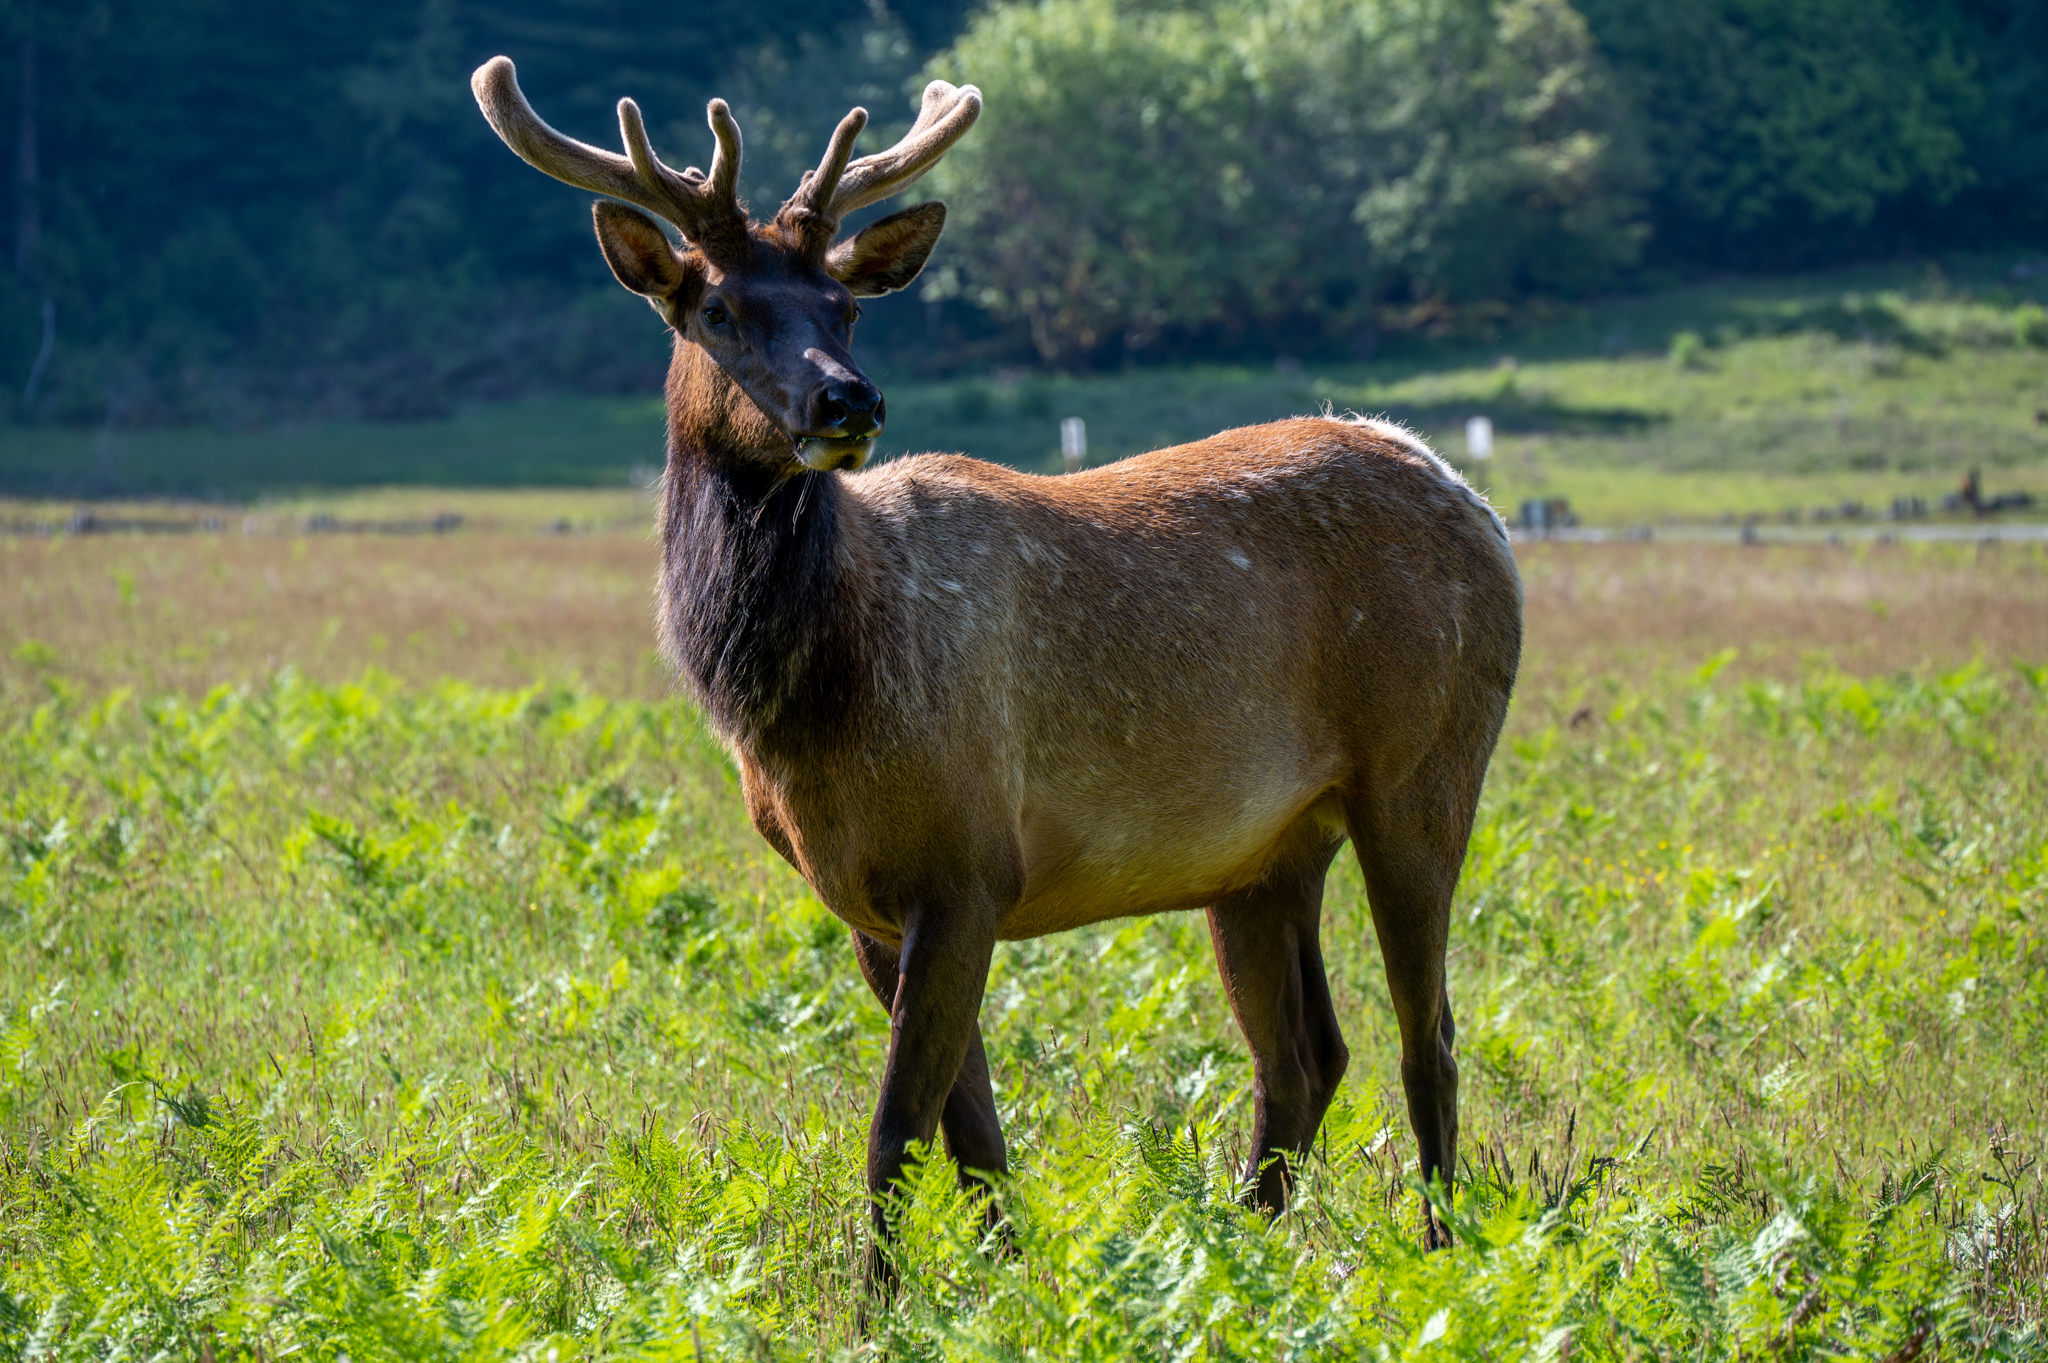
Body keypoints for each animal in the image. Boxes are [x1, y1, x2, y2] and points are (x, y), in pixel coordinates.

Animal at [471, 56, 1522, 1278]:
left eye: (844, 309)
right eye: (719, 309)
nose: (848, 398)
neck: (805, 700)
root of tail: (1476, 504)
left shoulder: (969, 859)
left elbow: (896, 1123)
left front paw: (880, 1298)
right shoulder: (866, 900)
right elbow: (968, 1128)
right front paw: (1003, 1281)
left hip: (1423, 765)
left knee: (1428, 1035)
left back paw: (1439, 1248)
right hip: (1261, 852)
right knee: (1305, 1054)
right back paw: (1240, 1255)